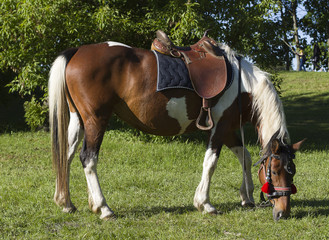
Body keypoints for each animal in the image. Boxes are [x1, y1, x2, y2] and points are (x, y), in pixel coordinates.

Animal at [48, 35, 302, 221]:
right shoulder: (219, 128)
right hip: (96, 120)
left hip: (78, 120)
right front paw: (205, 204)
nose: (283, 212)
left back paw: (67, 202)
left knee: (66, 156)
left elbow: (246, 158)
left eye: (292, 172)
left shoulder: (230, 129)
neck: (242, 84)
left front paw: (246, 196)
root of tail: (78, 51)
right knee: (88, 159)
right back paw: (103, 208)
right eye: (276, 171)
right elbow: (211, 162)